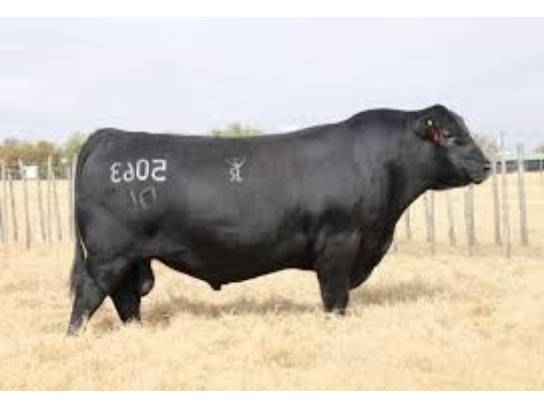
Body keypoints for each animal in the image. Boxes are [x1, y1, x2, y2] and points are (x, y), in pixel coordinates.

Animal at [68, 104, 490, 334]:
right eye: (450, 135)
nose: (486, 165)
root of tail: (109, 135)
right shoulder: (340, 242)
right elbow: (335, 296)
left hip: (131, 258)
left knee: (126, 298)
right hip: (108, 255)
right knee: (88, 295)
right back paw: (75, 338)